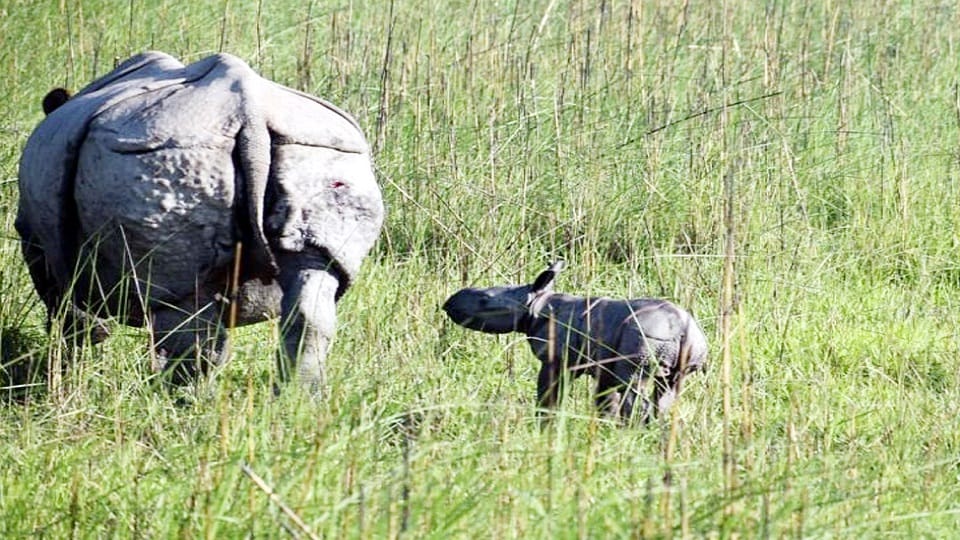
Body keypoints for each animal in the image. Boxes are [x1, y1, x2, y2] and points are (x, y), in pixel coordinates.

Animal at [15, 51, 384, 394]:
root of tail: (251, 116)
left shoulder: (36, 237)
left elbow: (62, 305)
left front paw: (70, 365)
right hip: (324, 153)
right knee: (315, 276)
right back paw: (298, 399)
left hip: (164, 156)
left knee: (182, 303)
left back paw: (179, 401)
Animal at [442, 261, 707, 424]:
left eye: (484, 300)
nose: (448, 303)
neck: (535, 303)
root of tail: (684, 329)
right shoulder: (603, 366)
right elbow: (604, 400)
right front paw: (603, 427)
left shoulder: (556, 360)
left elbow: (548, 394)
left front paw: (544, 424)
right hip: (684, 345)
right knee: (668, 389)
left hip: (648, 336)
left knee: (633, 385)